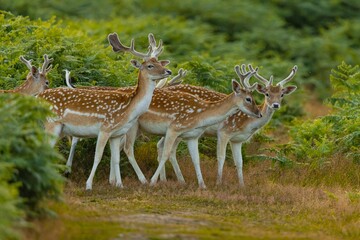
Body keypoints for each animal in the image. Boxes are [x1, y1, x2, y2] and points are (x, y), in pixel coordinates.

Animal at [38, 32, 172, 189]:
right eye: (150, 65)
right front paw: (89, 185)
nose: (168, 71)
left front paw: (119, 185)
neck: (128, 110)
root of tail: (37, 97)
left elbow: (116, 159)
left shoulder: (116, 134)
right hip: (52, 123)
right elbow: (98, 157)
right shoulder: (105, 128)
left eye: (159, 63)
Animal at [158, 64, 298, 187]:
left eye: (281, 94)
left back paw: (165, 179)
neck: (247, 124)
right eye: (267, 94)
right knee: (169, 149)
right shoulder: (224, 132)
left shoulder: (237, 140)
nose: (275, 105)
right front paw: (218, 183)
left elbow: (239, 162)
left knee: (161, 145)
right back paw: (177, 181)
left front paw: (242, 185)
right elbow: (221, 157)